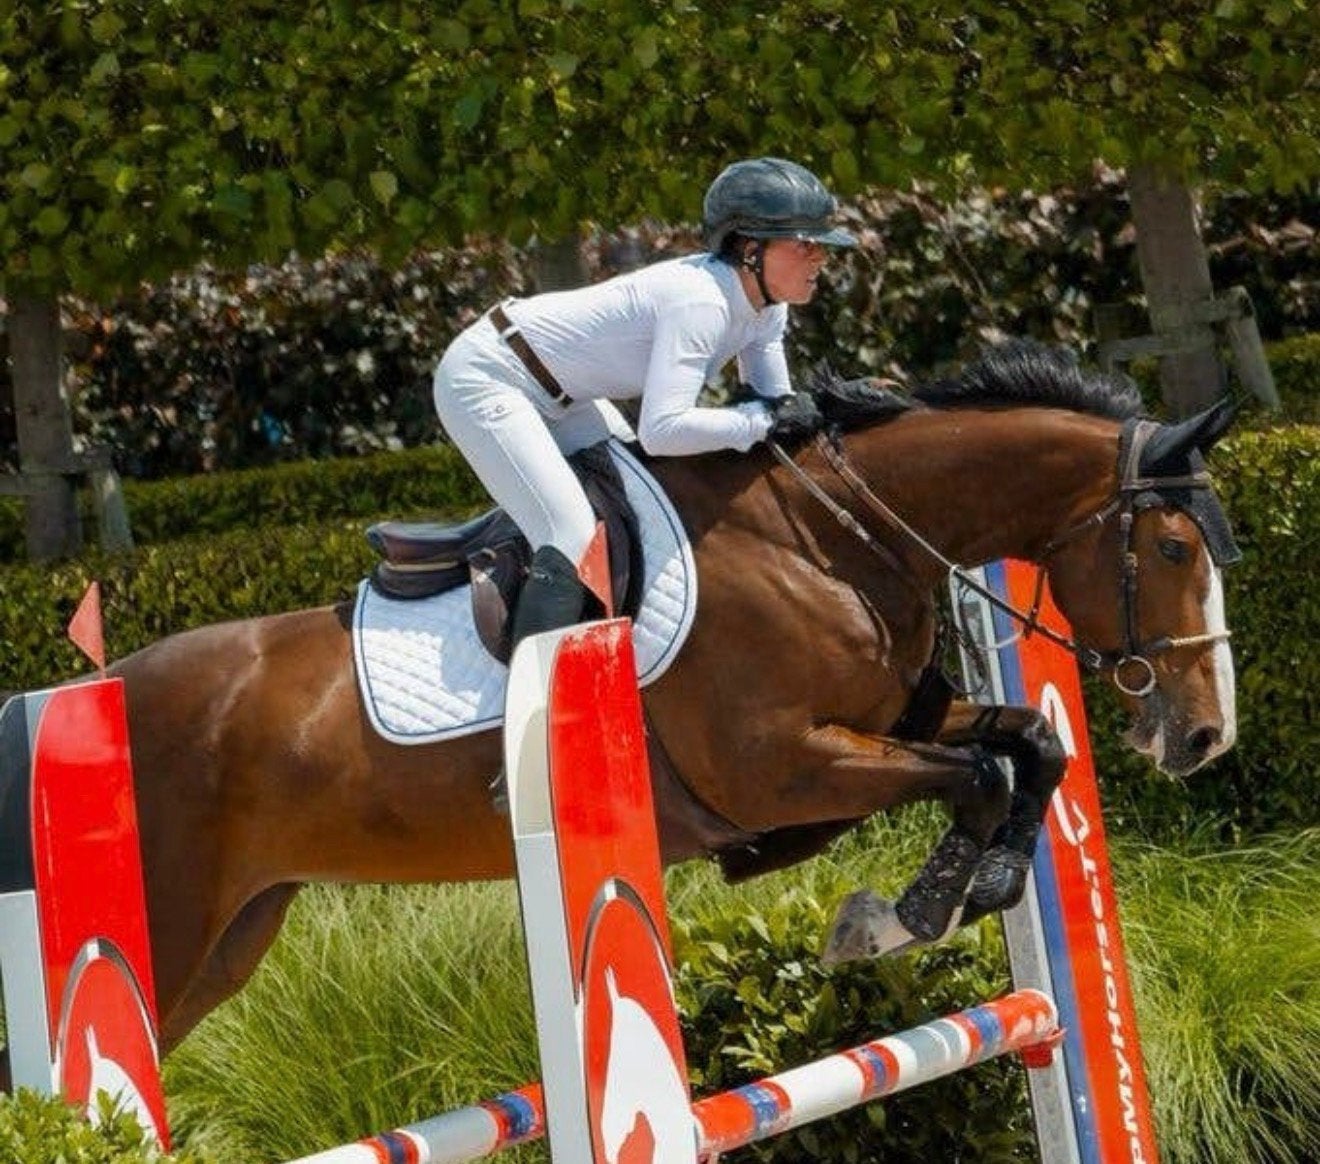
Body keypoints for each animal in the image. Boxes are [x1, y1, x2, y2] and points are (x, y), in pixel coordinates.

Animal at [18, 341, 1242, 1070]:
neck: (828, 538)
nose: (1203, 735)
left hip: (232, 938)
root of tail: (81, 696)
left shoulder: (883, 730)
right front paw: (911, 909)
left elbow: (1025, 747)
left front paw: (933, 900)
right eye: (1175, 548)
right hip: (172, 933)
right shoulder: (786, 766)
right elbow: (983, 772)